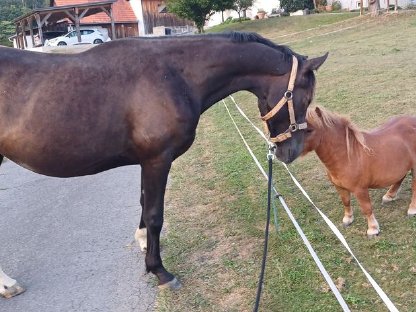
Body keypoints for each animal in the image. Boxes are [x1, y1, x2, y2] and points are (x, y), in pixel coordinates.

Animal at [0, 31, 328, 294]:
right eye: (304, 98)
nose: (290, 152)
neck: (173, 75)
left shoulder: (147, 160)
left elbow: (144, 204)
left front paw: (143, 241)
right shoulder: (158, 159)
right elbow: (155, 213)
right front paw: (159, 271)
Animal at [302, 106, 416, 235]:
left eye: (309, 130)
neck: (348, 155)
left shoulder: (360, 189)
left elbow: (366, 207)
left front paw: (373, 229)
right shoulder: (339, 187)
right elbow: (346, 201)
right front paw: (348, 219)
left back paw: (412, 209)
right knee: (400, 176)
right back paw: (389, 195)